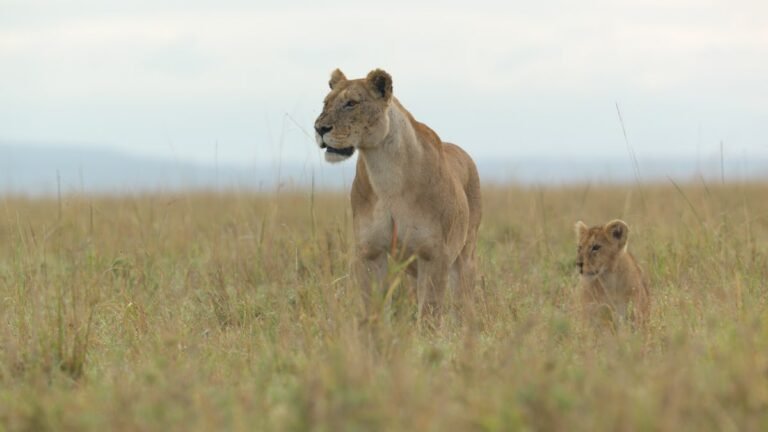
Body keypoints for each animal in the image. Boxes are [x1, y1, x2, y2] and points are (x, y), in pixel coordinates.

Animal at [314, 68, 482, 320]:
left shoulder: (434, 254)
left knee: (464, 301)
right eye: (326, 103)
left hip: (464, 255)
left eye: (351, 103)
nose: (319, 128)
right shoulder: (370, 252)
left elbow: (430, 313)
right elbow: (372, 308)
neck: (386, 174)